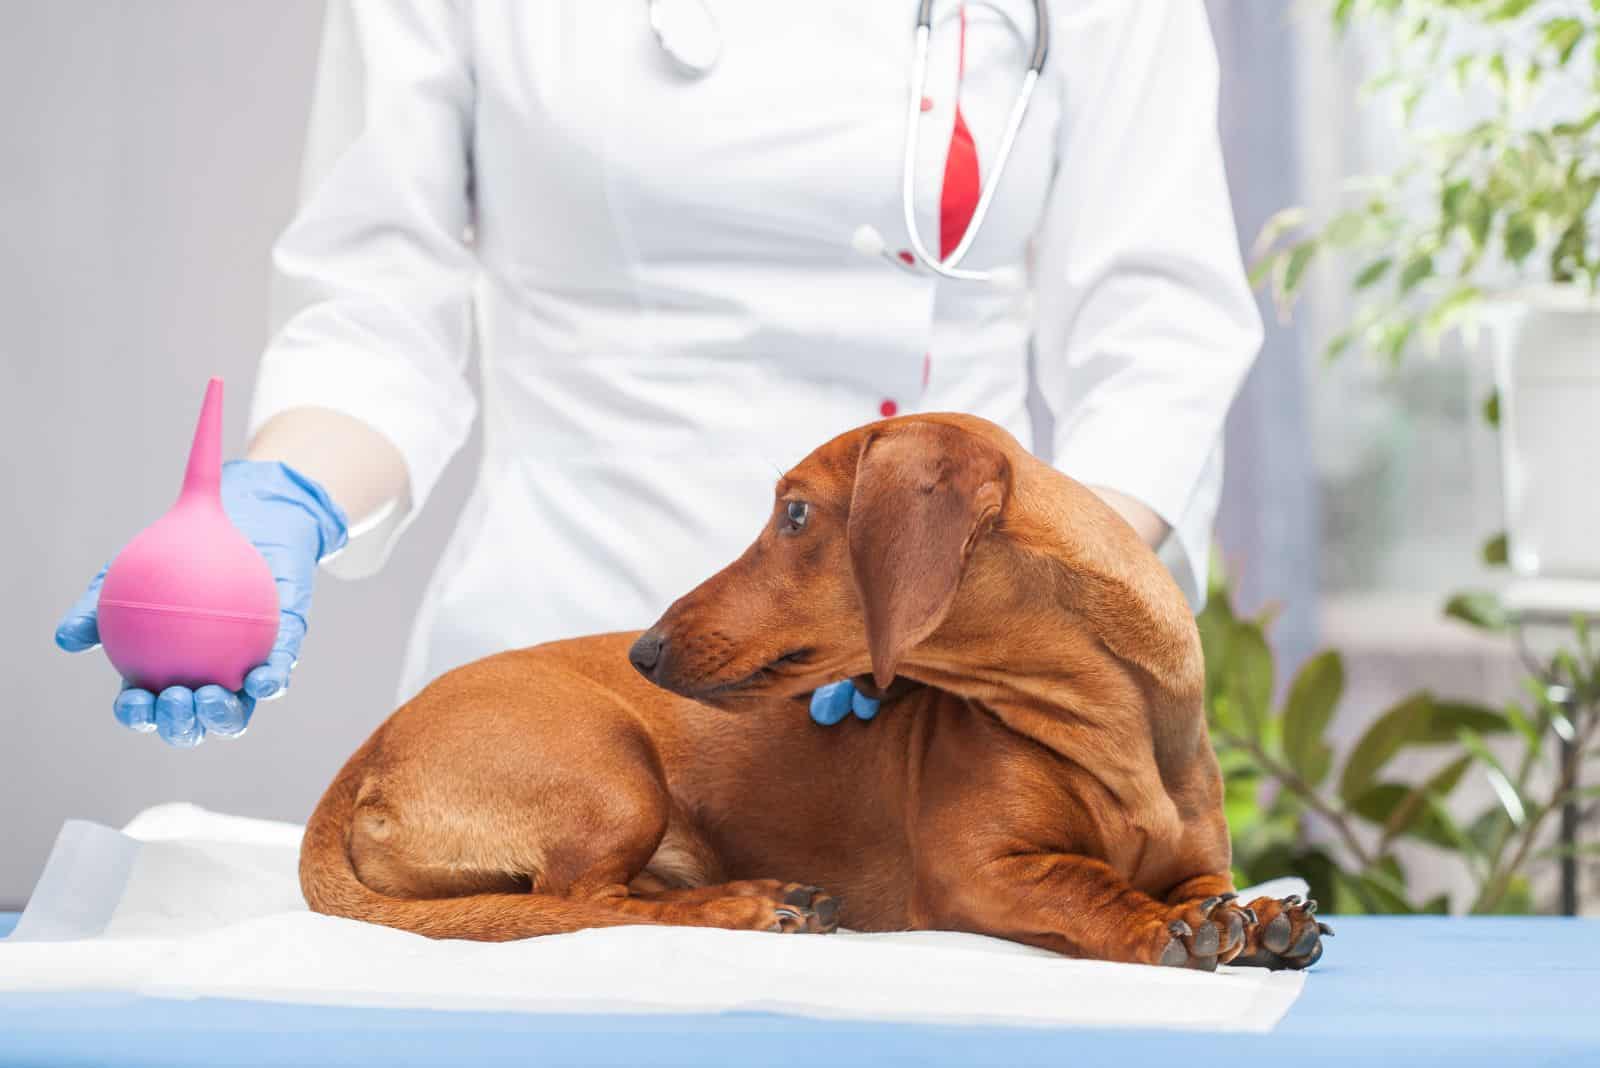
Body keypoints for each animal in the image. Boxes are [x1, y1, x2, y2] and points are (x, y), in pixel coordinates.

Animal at [300, 412, 1324, 972]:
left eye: (793, 514)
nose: (644, 650)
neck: (1112, 734)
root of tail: (364, 758)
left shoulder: (1201, 862)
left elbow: (1215, 889)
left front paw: (1265, 919)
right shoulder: (981, 872)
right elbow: (1087, 884)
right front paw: (1160, 926)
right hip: (613, 775)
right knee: (583, 904)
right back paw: (749, 908)